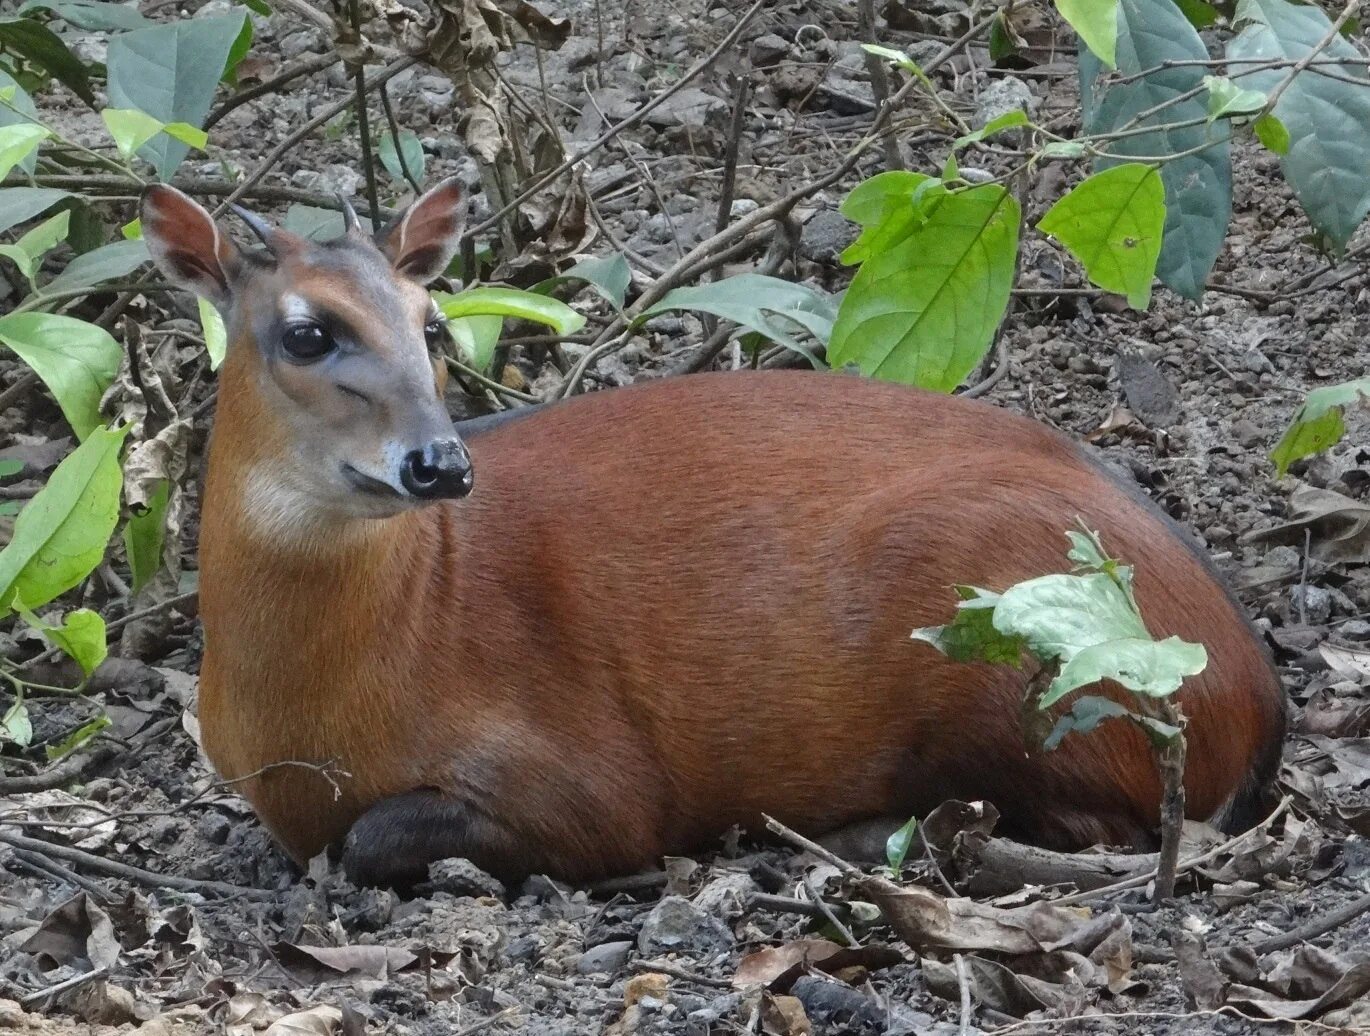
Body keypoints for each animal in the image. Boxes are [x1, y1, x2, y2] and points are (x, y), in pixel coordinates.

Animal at [139, 179, 1282, 888]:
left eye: (432, 323)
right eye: (306, 331)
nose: (440, 462)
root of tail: (1256, 689)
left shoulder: (594, 790)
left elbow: (374, 837)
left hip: (1022, 639)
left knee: (1105, 826)